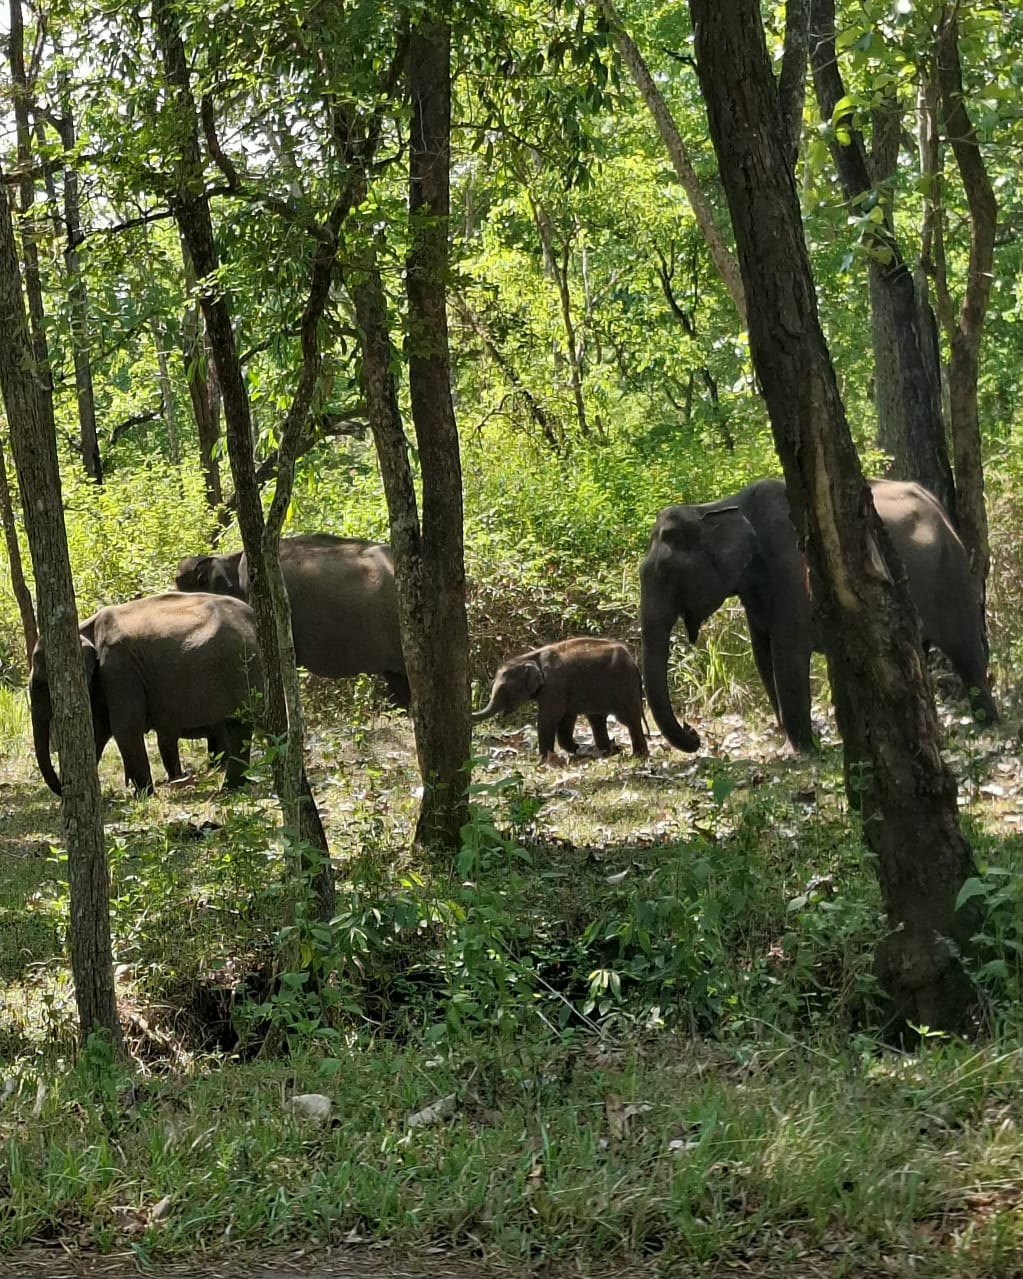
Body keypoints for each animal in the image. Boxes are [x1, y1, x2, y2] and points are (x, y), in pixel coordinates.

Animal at [30, 592, 263, 796]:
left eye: (41, 683)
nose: (62, 790)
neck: (83, 627)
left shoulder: (117, 667)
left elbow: (124, 727)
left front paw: (144, 795)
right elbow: (98, 730)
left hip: (241, 668)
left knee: (239, 725)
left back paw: (229, 787)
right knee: (236, 725)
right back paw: (234, 786)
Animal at [473, 637, 649, 759]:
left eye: (504, 689)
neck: (528, 657)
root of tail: (634, 663)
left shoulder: (554, 686)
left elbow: (549, 718)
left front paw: (544, 760)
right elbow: (566, 719)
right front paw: (576, 749)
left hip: (624, 686)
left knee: (629, 719)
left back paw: (638, 755)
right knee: (597, 719)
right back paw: (609, 752)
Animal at [640, 477, 998, 754]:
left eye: (668, 575)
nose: (693, 733)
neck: (716, 506)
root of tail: (941, 510)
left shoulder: (795, 576)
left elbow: (787, 656)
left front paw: (800, 751)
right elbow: (763, 656)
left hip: (951, 573)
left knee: (966, 649)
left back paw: (987, 725)